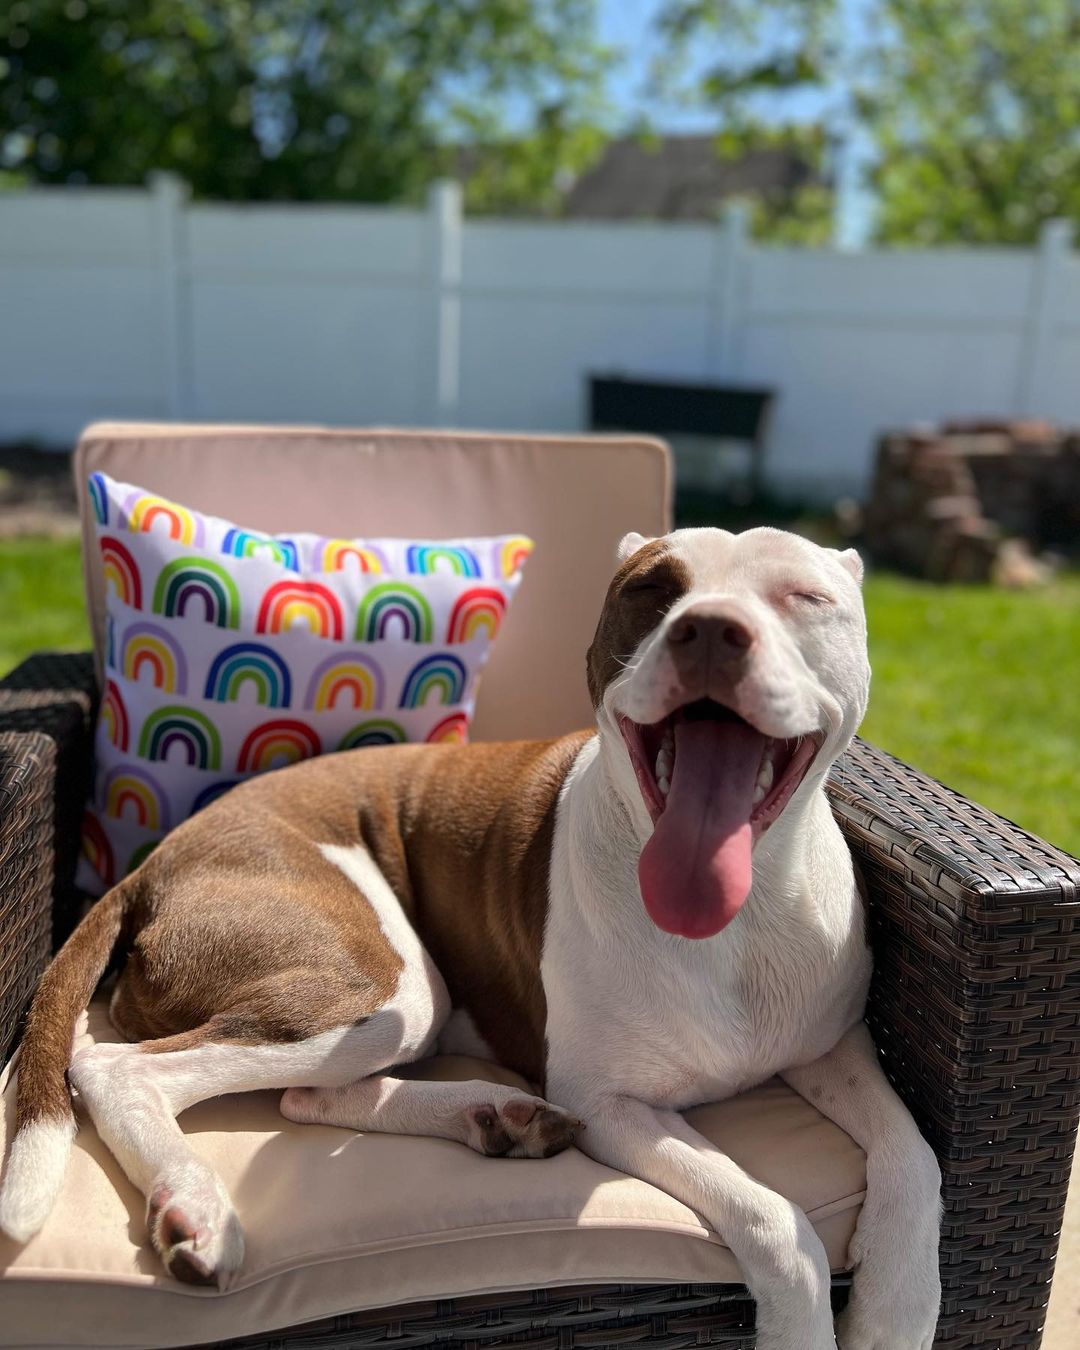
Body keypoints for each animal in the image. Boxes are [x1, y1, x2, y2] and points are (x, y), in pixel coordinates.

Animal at [0, 526, 939, 1350]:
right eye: (651, 590)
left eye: (804, 596)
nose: (709, 628)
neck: (736, 921)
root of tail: (154, 863)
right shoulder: (614, 1106)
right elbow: (774, 1216)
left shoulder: (837, 1047)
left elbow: (916, 1156)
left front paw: (896, 1312)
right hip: (381, 982)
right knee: (125, 1070)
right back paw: (196, 1205)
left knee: (306, 1097)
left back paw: (496, 1117)